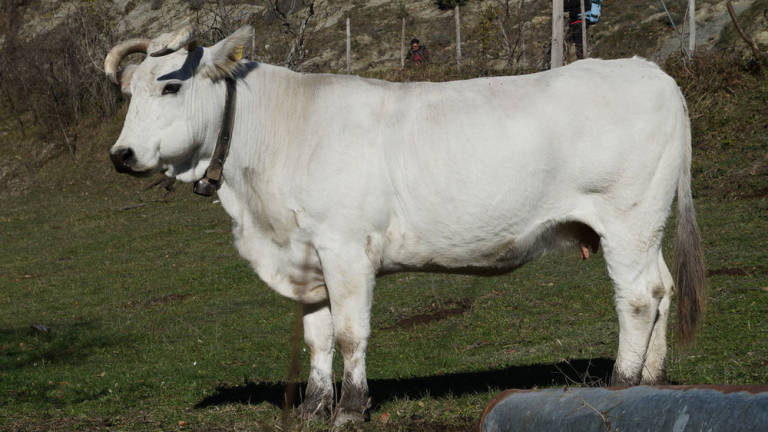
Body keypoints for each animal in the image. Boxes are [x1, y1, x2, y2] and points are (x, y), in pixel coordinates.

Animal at [105, 25, 704, 424]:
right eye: (129, 92)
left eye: (170, 88)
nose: (121, 154)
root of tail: (648, 70)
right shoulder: (307, 254)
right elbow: (317, 335)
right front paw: (315, 407)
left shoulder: (345, 247)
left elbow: (350, 332)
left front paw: (350, 409)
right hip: (644, 226)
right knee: (661, 289)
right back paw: (651, 384)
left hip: (625, 219)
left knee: (636, 300)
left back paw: (621, 386)